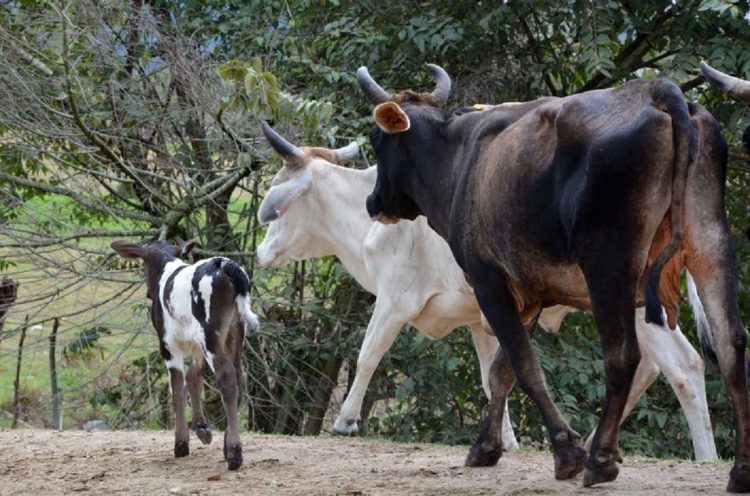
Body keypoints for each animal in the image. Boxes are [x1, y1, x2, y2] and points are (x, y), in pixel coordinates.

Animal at [110, 238, 260, 470]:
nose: (148, 293)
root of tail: (223, 263)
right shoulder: (196, 346)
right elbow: (193, 377)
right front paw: (201, 427)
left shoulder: (168, 346)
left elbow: (177, 388)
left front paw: (181, 443)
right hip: (235, 331)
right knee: (238, 376)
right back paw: (228, 446)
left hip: (210, 333)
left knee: (226, 378)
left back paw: (234, 452)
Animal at [256, 121, 720, 462]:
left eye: (278, 203)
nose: (260, 252)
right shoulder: (481, 318)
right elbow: (493, 374)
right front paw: (506, 441)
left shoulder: (394, 301)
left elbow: (368, 354)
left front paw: (346, 421)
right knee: (653, 367)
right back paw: (594, 443)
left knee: (682, 368)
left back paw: (706, 457)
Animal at [358, 66, 750, 492]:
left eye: (377, 139)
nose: (373, 201)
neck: (460, 158)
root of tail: (655, 90)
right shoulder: (530, 293)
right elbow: (501, 371)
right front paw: (486, 447)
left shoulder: (489, 282)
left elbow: (523, 366)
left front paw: (566, 451)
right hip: (710, 244)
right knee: (732, 344)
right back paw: (741, 470)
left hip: (609, 267)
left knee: (623, 356)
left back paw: (600, 460)